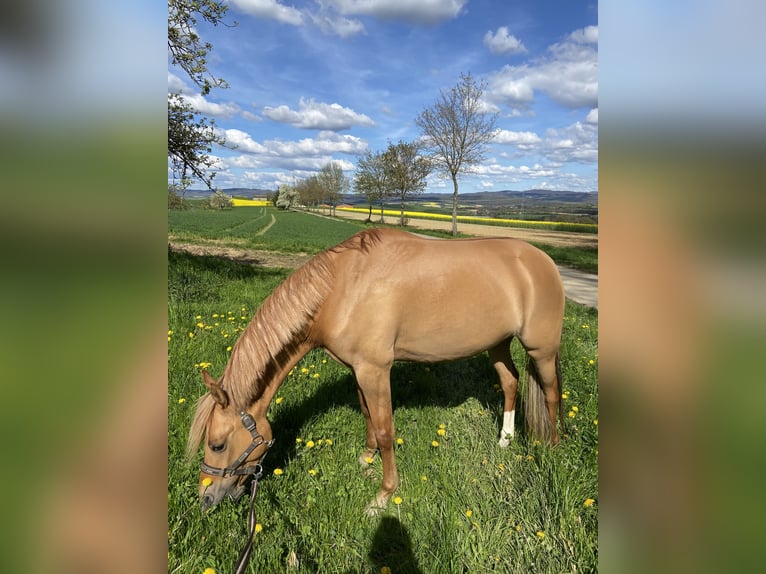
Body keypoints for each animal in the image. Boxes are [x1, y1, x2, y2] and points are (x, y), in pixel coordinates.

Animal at [187, 228, 565, 515]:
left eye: (217, 444)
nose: (205, 498)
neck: (341, 289)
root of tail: (542, 260)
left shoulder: (375, 370)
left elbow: (385, 430)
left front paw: (383, 495)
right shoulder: (358, 369)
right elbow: (368, 415)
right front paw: (366, 458)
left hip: (541, 350)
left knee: (550, 393)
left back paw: (553, 449)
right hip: (497, 344)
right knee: (511, 382)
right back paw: (505, 439)